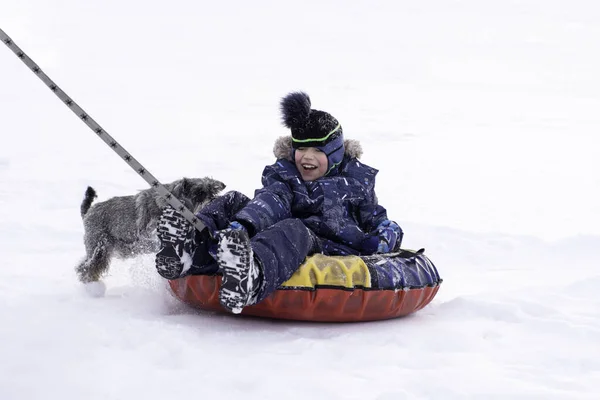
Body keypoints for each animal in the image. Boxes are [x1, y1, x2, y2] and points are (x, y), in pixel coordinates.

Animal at [75, 177, 225, 282]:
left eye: (213, 190)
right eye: (199, 192)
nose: (215, 203)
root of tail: (88, 212)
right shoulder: (146, 238)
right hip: (99, 247)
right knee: (86, 268)